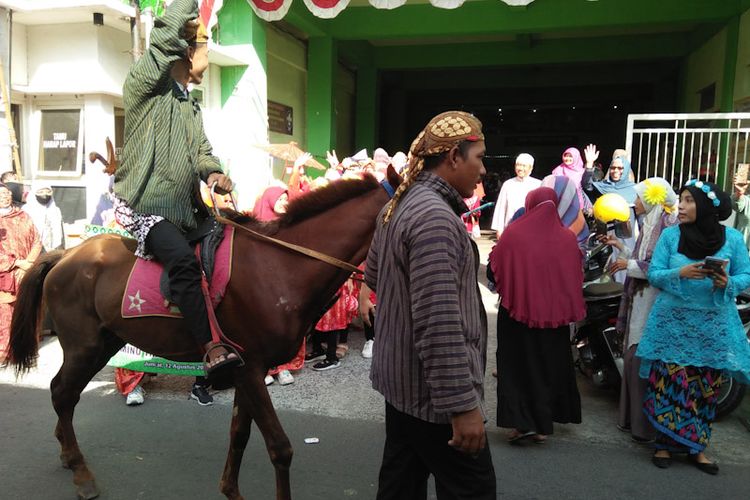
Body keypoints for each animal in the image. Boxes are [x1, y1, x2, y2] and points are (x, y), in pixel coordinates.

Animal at [5, 169, 402, 500]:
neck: (280, 268)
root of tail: (64, 255)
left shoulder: (245, 371)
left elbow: (239, 435)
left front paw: (231, 490)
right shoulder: (251, 368)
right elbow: (280, 447)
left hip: (104, 342)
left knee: (64, 393)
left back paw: (66, 453)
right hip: (84, 347)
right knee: (62, 393)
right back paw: (81, 471)